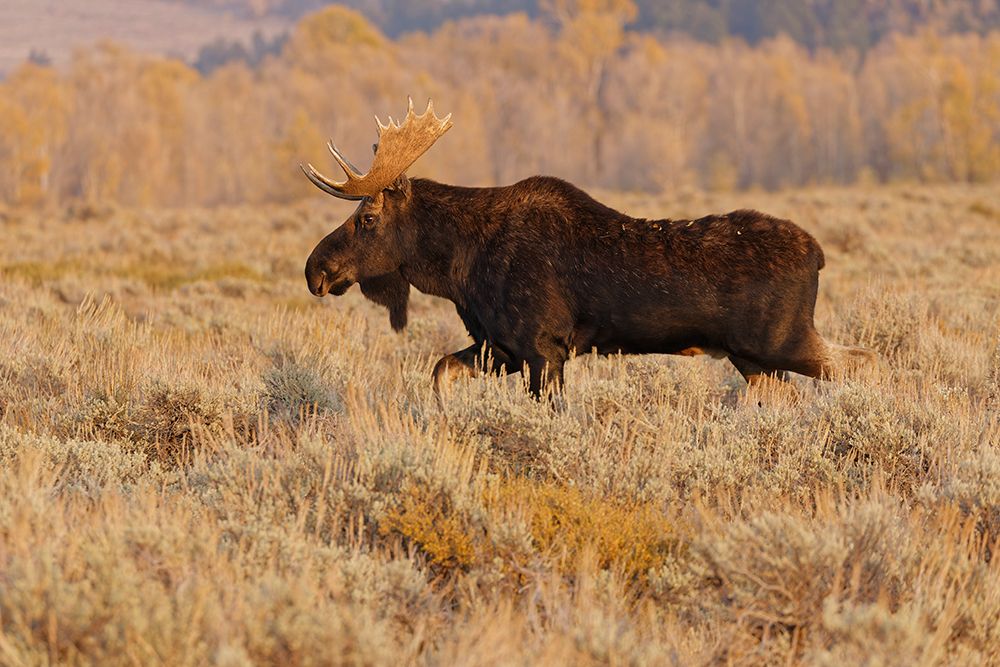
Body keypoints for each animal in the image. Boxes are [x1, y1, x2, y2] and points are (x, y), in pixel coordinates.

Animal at [300, 96, 872, 394]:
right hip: (753, 359)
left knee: (863, 362)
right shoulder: (499, 346)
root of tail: (820, 254)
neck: (459, 271)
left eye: (367, 217)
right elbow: (440, 370)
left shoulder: (543, 347)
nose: (315, 270)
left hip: (780, 341)